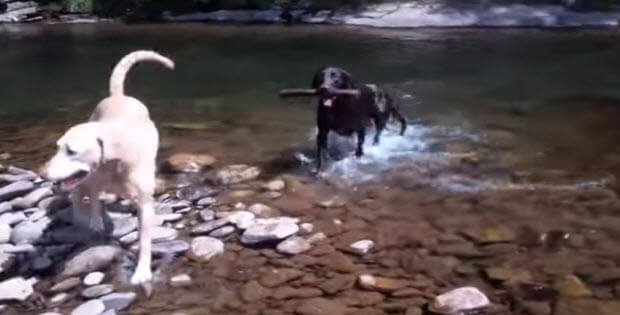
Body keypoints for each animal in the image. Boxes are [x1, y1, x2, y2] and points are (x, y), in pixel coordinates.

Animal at [41, 51, 173, 286]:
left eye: (71, 151)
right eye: (58, 147)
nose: (42, 173)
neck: (114, 165)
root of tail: (118, 96)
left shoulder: (145, 205)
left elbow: (145, 239)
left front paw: (142, 271)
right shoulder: (91, 180)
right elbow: (90, 201)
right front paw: (94, 222)